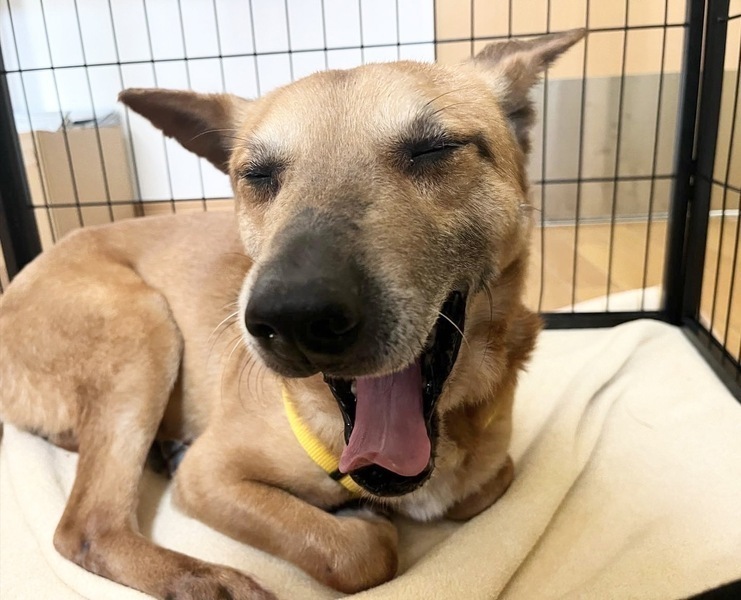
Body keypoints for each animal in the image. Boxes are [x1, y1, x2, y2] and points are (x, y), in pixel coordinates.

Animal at [0, 29, 584, 600]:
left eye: (434, 148)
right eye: (257, 175)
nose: (294, 319)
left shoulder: (493, 469)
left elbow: (486, 484)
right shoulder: (209, 476)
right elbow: (360, 553)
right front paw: (360, 522)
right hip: (145, 327)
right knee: (87, 527)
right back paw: (208, 578)